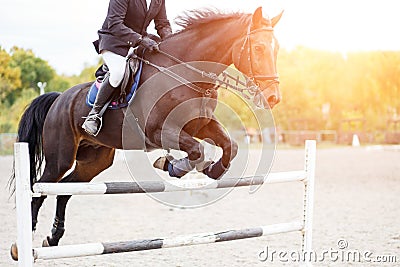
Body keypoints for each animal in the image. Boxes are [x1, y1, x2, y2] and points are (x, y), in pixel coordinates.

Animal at [10, 7, 282, 252]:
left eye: (276, 48)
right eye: (258, 48)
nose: (273, 97)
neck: (183, 72)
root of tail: (58, 98)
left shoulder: (201, 124)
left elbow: (229, 145)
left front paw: (213, 170)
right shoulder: (159, 131)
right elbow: (196, 150)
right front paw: (171, 165)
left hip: (94, 160)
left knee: (65, 191)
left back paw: (53, 237)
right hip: (61, 157)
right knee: (40, 189)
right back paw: (25, 240)